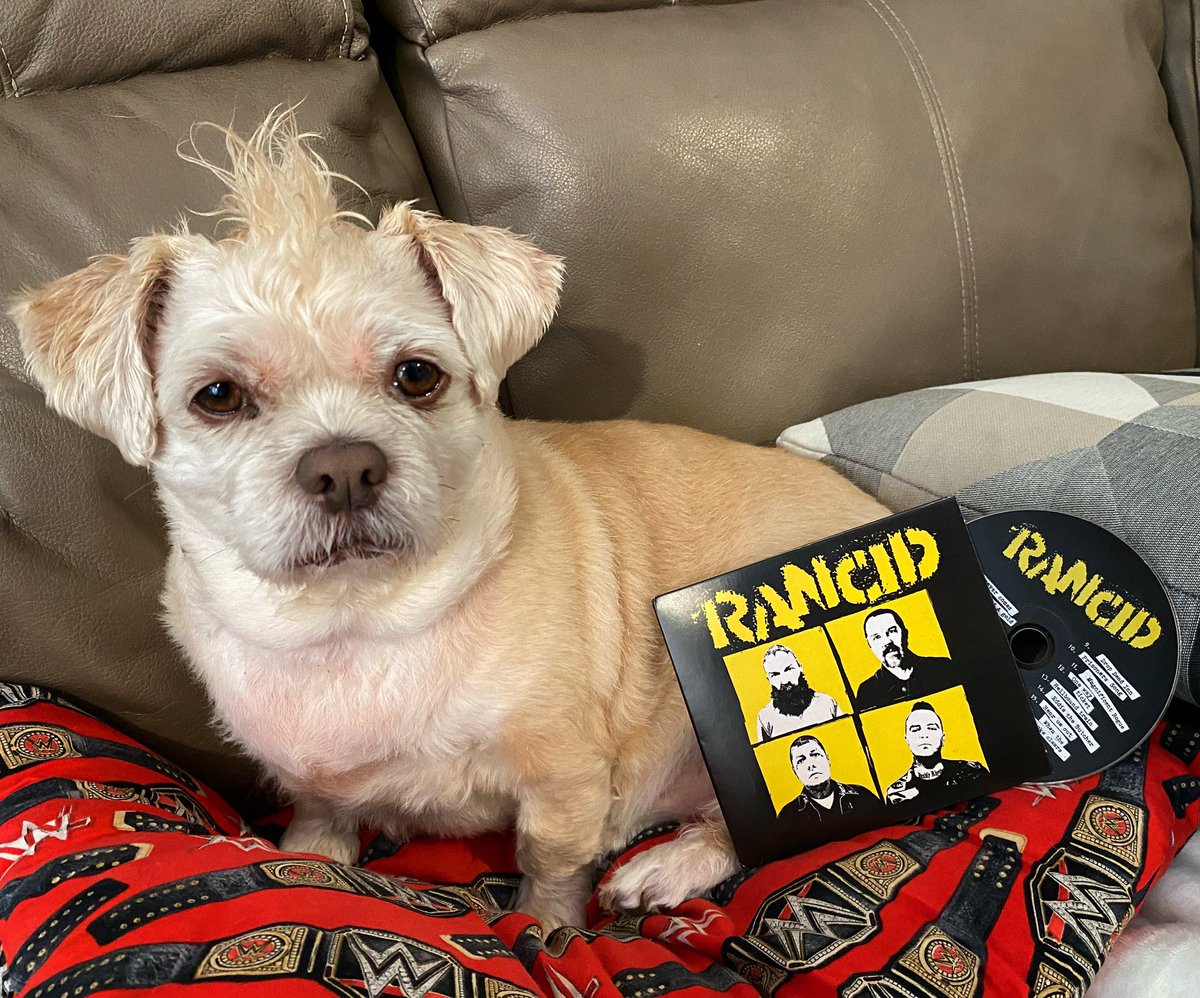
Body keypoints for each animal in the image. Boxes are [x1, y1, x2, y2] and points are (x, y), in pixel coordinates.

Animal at [11, 109, 892, 926]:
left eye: (416, 376)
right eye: (218, 396)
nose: (344, 466)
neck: (355, 623)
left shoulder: (562, 774)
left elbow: (549, 862)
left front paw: (548, 929)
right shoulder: (310, 781)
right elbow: (319, 828)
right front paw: (314, 862)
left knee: (741, 823)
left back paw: (663, 864)